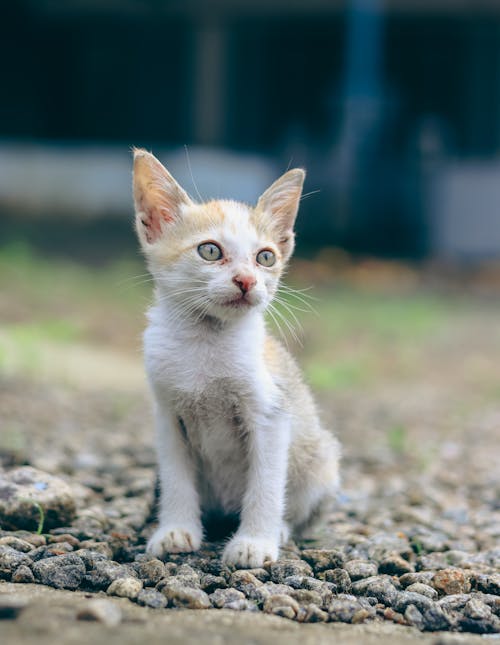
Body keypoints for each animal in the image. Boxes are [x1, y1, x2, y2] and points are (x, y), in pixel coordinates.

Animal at [133, 148, 340, 568]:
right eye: (210, 250)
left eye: (266, 257)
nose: (246, 280)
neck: (205, 343)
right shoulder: (167, 415)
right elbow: (177, 477)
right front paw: (175, 530)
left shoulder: (272, 413)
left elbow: (266, 483)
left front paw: (255, 542)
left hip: (322, 461)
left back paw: (280, 530)